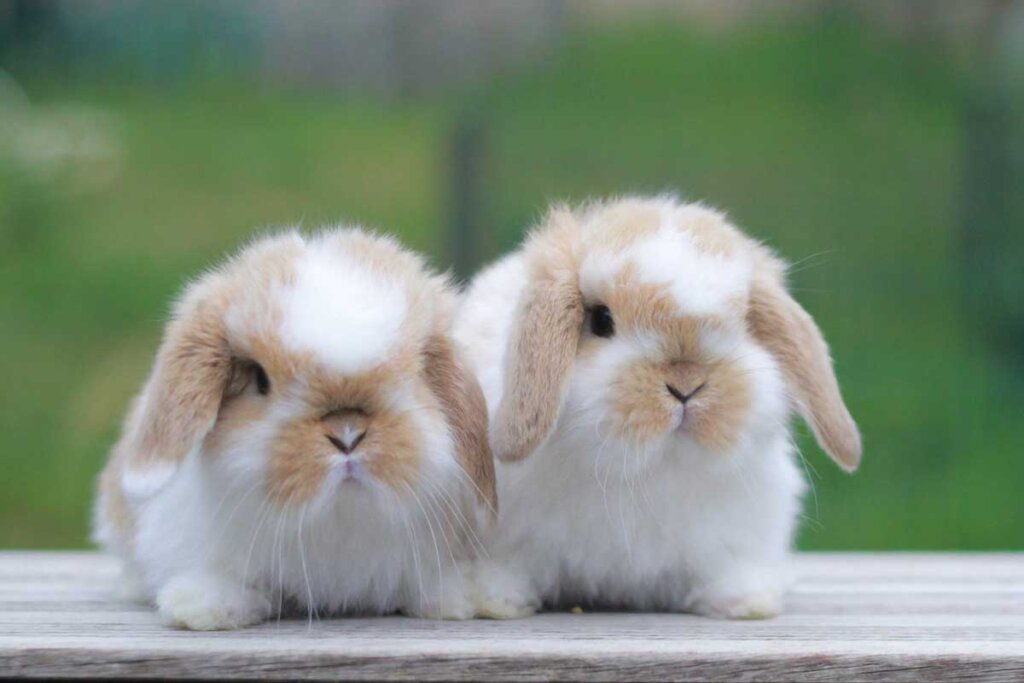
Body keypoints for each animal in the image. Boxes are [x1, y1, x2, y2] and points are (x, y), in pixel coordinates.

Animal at [94, 227, 496, 630]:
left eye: (415, 376)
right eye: (260, 379)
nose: (347, 435)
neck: (338, 519)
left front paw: (463, 596)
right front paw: (201, 605)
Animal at [454, 196, 860, 620]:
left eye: (743, 322)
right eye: (601, 320)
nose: (686, 384)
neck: (647, 468)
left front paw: (746, 602)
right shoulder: (505, 537)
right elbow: (508, 567)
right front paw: (492, 601)